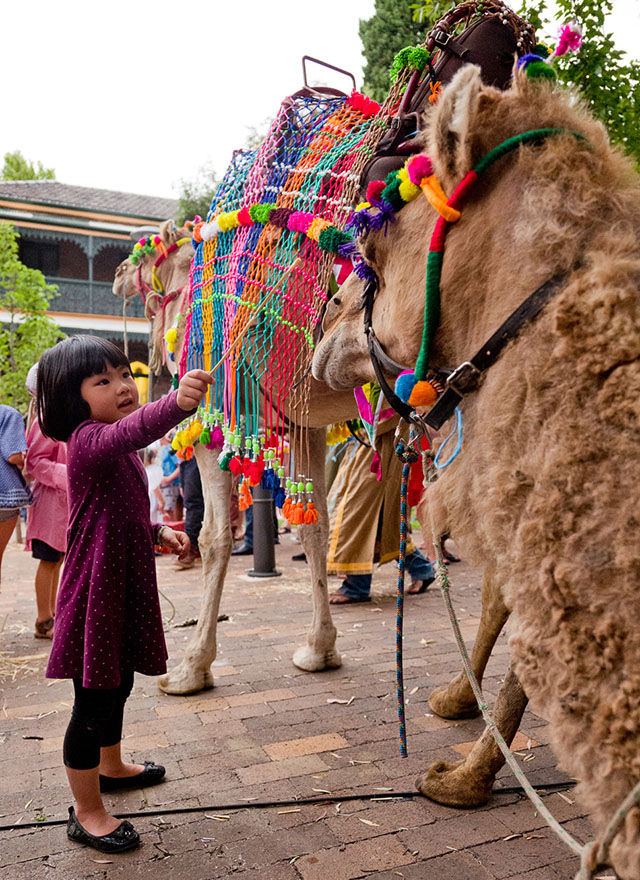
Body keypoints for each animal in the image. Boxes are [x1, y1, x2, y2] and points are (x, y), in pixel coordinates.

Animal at [113, 225, 360, 696]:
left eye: (142, 252)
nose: (116, 274)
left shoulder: (216, 419)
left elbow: (213, 537)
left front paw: (191, 668)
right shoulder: (307, 425)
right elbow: (315, 527)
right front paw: (319, 649)